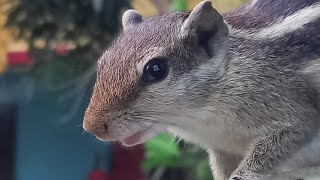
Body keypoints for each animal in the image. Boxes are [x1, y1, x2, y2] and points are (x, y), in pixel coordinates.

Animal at [84, 0, 320, 179]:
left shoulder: (290, 109)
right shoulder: (221, 147)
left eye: (156, 69)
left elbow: (293, 131)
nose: (91, 127)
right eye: (102, 62)